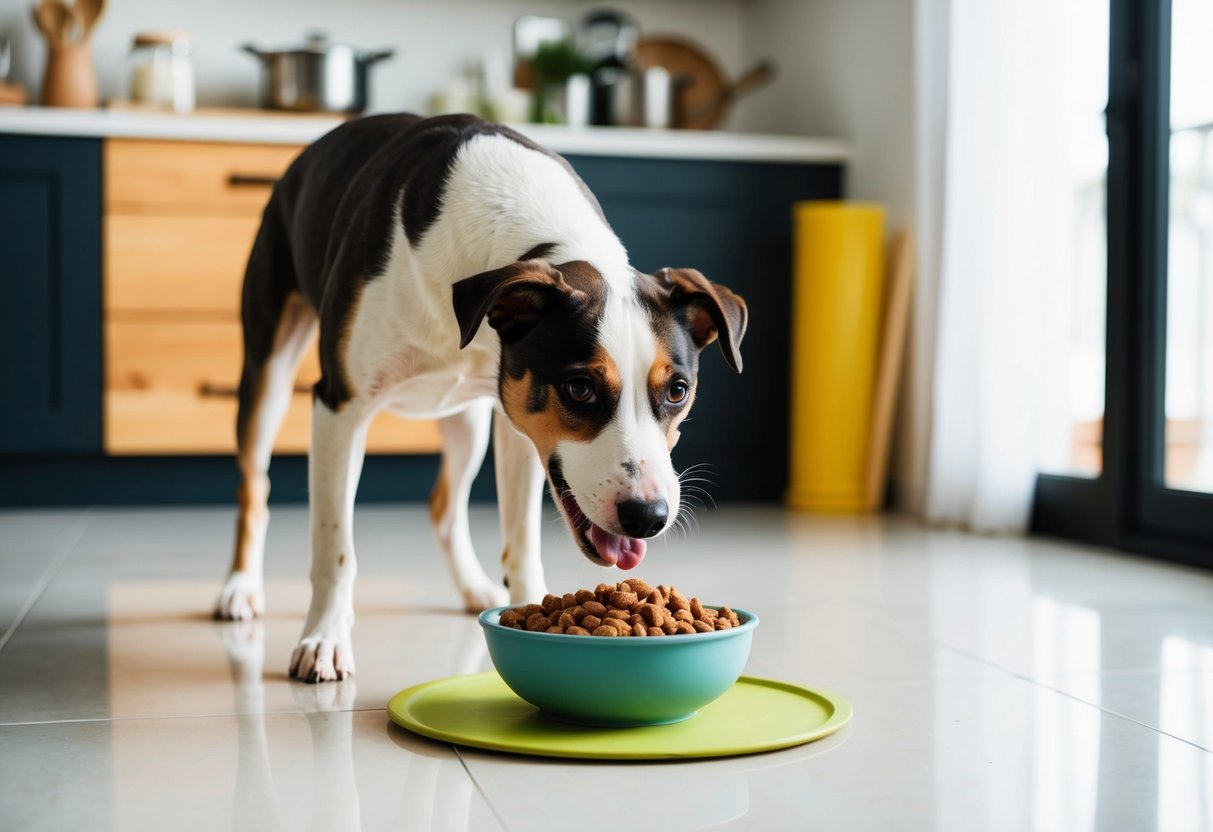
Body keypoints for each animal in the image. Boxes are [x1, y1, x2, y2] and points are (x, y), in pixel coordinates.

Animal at [215, 112, 747, 684]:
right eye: (579, 388)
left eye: (677, 391)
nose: (648, 516)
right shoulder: (340, 407)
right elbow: (334, 547)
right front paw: (324, 638)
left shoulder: (520, 424)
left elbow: (521, 541)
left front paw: (533, 612)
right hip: (268, 373)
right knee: (255, 487)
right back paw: (241, 589)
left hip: (467, 420)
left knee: (444, 507)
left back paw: (473, 588)